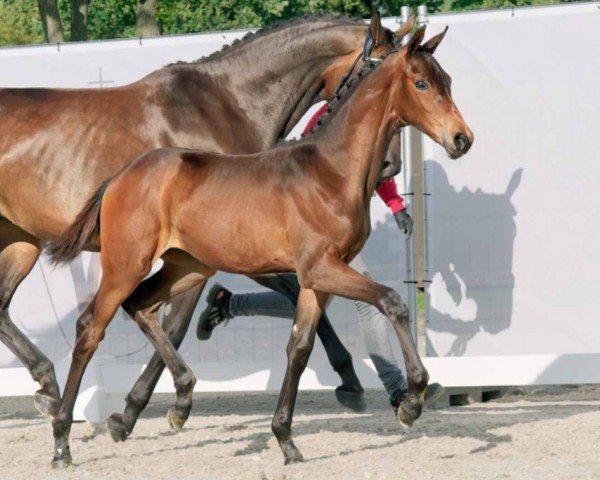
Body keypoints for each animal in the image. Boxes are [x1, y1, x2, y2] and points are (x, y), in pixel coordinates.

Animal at [47, 24, 474, 466]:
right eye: (421, 83)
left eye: (447, 81)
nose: (462, 139)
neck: (331, 171)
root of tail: (121, 175)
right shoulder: (320, 268)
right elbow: (392, 301)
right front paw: (412, 400)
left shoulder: (317, 279)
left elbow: (299, 347)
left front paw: (286, 439)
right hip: (126, 264)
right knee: (90, 328)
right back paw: (62, 440)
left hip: (188, 267)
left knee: (142, 307)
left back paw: (176, 399)